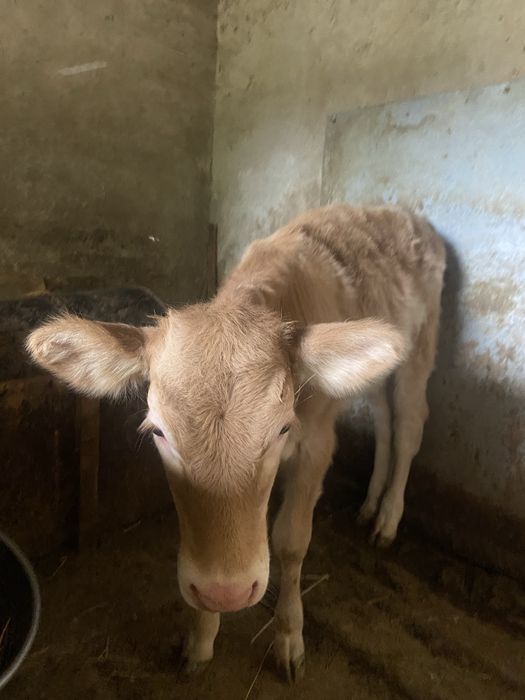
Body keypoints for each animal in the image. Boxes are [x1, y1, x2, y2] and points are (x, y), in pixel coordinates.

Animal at [26, 204, 445, 681]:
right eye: (158, 432)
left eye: (282, 429)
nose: (227, 594)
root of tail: (397, 211)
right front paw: (201, 637)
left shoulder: (316, 443)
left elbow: (291, 541)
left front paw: (289, 637)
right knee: (382, 417)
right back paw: (370, 505)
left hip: (422, 341)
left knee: (408, 425)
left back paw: (388, 518)